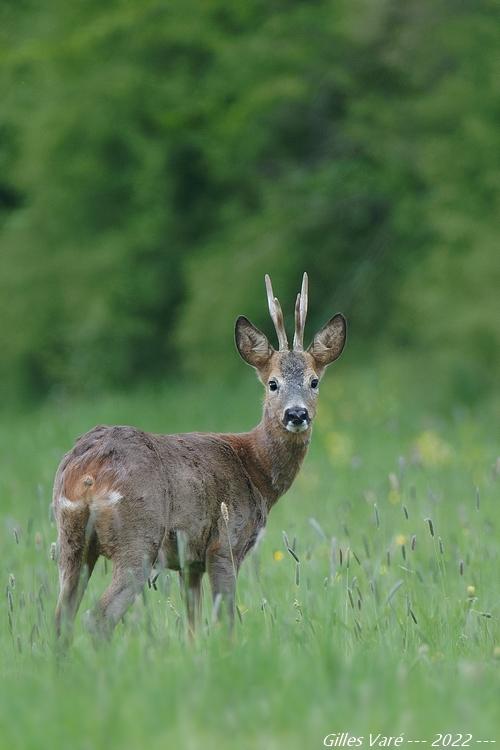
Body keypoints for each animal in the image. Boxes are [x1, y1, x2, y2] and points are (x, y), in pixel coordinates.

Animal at [52, 274, 346, 640]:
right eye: (273, 383)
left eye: (314, 381)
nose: (296, 414)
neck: (255, 469)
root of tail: (87, 472)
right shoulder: (225, 542)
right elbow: (226, 620)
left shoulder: (189, 562)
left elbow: (192, 627)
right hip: (138, 538)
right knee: (98, 617)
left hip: (70, 541)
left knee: (60, 620)